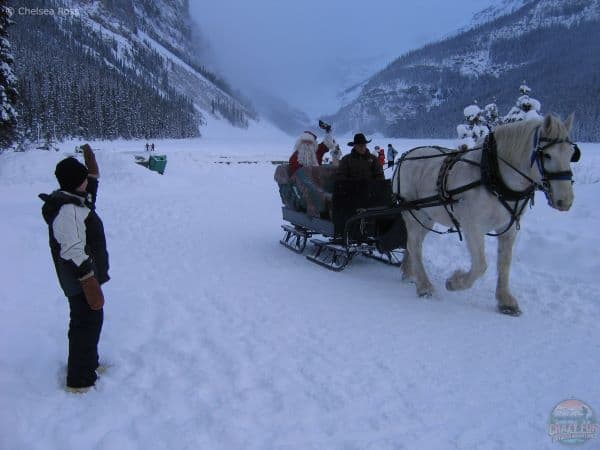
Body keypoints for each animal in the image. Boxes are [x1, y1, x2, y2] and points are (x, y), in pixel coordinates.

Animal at [392, 114, 580, 314]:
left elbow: (505, 263)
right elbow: (481, 265)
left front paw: (505, 300)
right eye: (547, 155)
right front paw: (454, 282)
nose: (565, 201)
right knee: (414, 245)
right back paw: (424, 286)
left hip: (427, 218)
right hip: (413, 214)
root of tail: (405, 157)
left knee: (413, 244)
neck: (492, 176)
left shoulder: (508, 228)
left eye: (571, 154)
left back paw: (409, 272)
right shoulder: (472, 227)